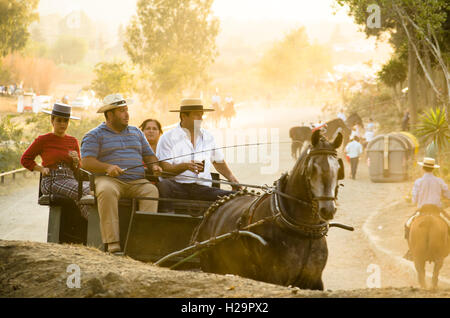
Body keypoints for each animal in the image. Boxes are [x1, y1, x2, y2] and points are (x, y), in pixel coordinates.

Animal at [192, 130, 346, 290]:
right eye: (312, 168)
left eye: (338, 169)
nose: (328, 209)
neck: (303, 230)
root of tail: (211, 212)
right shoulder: (273, 277)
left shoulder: (314, 280)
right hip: (213, 267)